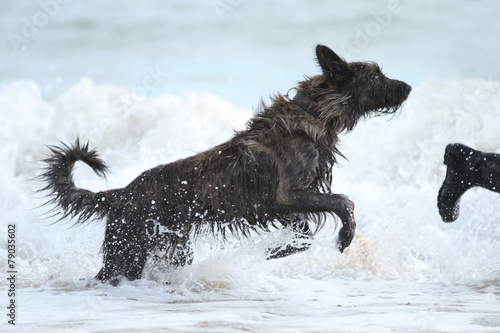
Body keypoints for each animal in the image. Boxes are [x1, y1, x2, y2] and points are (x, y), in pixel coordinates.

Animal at [40, 44, 410, 282]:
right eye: (377, 75)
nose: (408, 87)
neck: (314, 114)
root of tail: (122, 193)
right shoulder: (287, 194)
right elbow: (344, 202)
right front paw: (345, 235)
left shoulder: (287, 204)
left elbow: (303, 233)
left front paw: (281, 250)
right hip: (128, 248)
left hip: (168, 247)